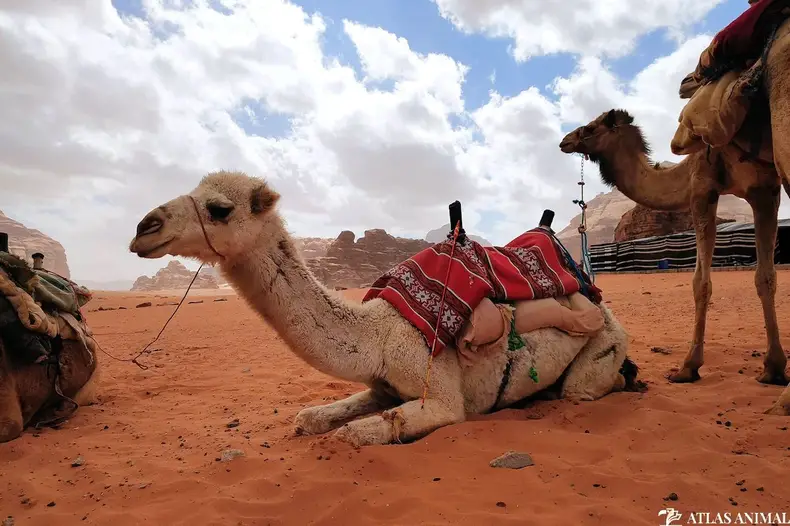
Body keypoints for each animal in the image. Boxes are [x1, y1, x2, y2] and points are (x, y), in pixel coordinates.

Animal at [128, 171, 636, 448]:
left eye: (219, 208)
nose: (143, 228)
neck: (379, 335)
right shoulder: (381, 384)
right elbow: (312, 418)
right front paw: (314, 417)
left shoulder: (441, 394)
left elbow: (353, 434)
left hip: (602, 346)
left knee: (585, 388)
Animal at [560, 109, 788, 418]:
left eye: (591, 127)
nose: (565, 141)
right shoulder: (763, 189)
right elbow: (765, 277)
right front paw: (773, 368)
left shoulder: (703, 188)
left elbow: (701, 282)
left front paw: (688, 367)